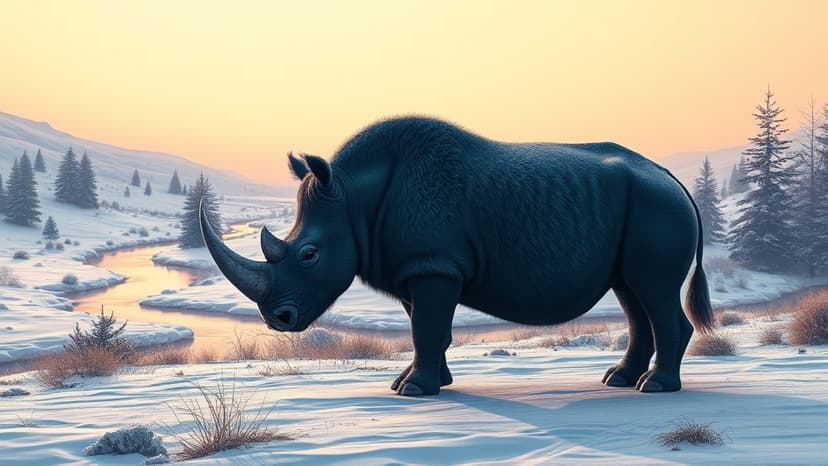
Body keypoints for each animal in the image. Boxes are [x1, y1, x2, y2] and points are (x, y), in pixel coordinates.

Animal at [200, 116, 714, 396]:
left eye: (308, 253)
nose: (278, 319)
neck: (352, 197)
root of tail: (674, 182)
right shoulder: (417, 266)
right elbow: (423, 328)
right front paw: (418, 383)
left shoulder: (434, 265)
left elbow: (427, 328)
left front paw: (414, 391)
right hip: (642, 209)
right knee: (632, 293)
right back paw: (618, 380)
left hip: (656, 207)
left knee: (652, 290)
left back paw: (656, 388)